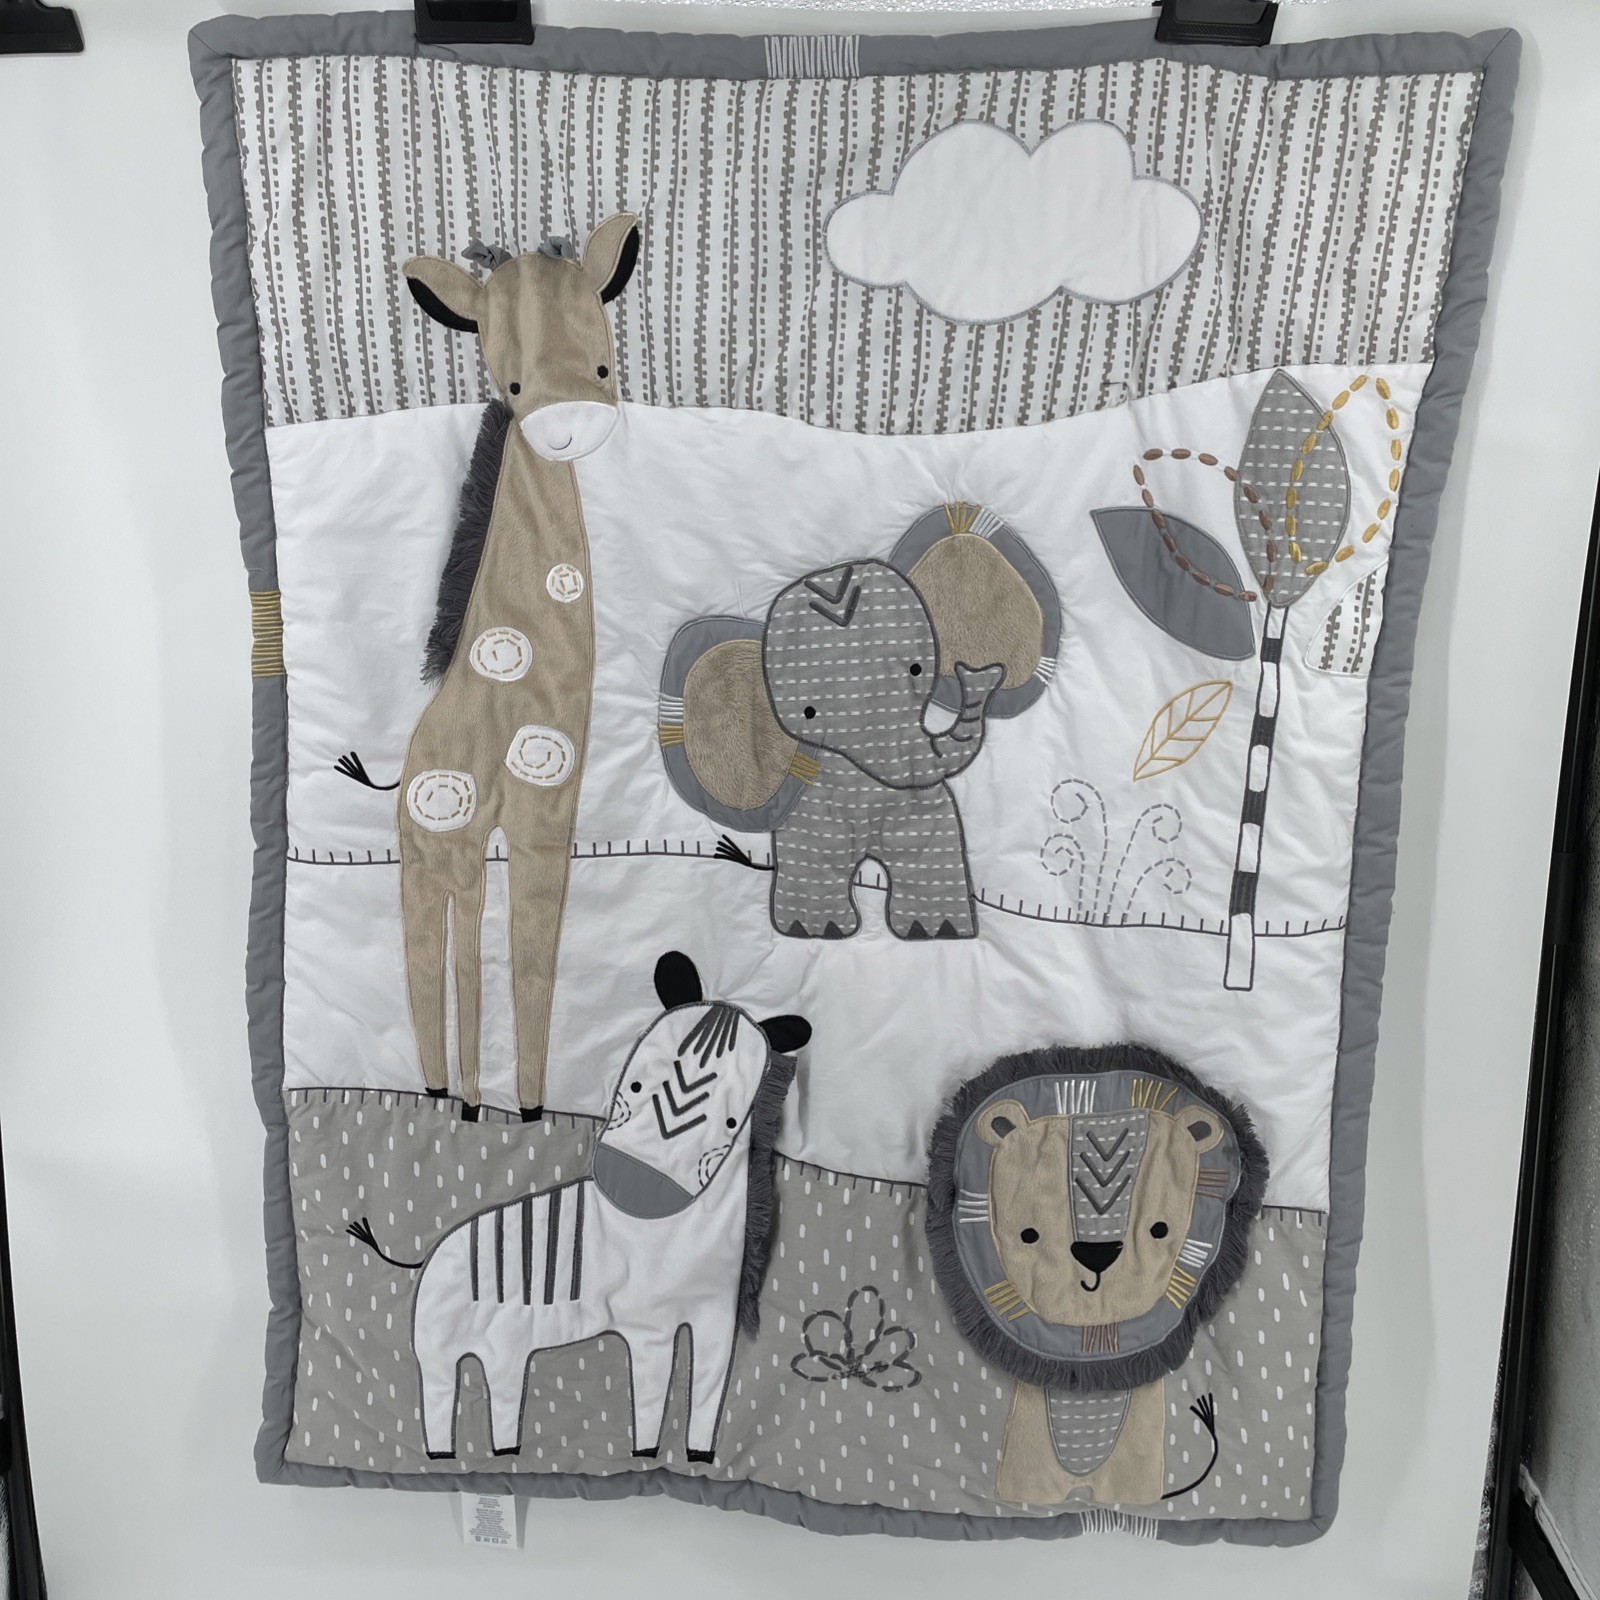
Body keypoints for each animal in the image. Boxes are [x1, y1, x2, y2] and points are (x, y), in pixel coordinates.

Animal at [348, 951, 810, 1462]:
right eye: (633, 1084)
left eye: (732, 1121)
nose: (631, 1187)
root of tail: (430, 1255)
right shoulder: (647, 1326)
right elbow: (653, 1395)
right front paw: (647, 1453)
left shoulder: (715, 1320)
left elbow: (707, 1395)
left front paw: (698, 1458)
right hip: (442, 1347)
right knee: (440, 1399)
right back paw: (454, 1457)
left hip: (500, 1345)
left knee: (498, 1393)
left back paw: (503, 1452)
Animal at [398, 213, 640, 1120]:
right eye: (509, 382)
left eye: (604, 365)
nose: (568, 423)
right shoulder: (542, 785)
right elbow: (517, 953)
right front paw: (522, 1110)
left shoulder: (551, 800)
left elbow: (533, 950)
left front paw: (529, 1108)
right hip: (437, 843)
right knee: (440, 951)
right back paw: (445, 1095)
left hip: (454, 846)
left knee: (459, 946)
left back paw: (458, 1097)